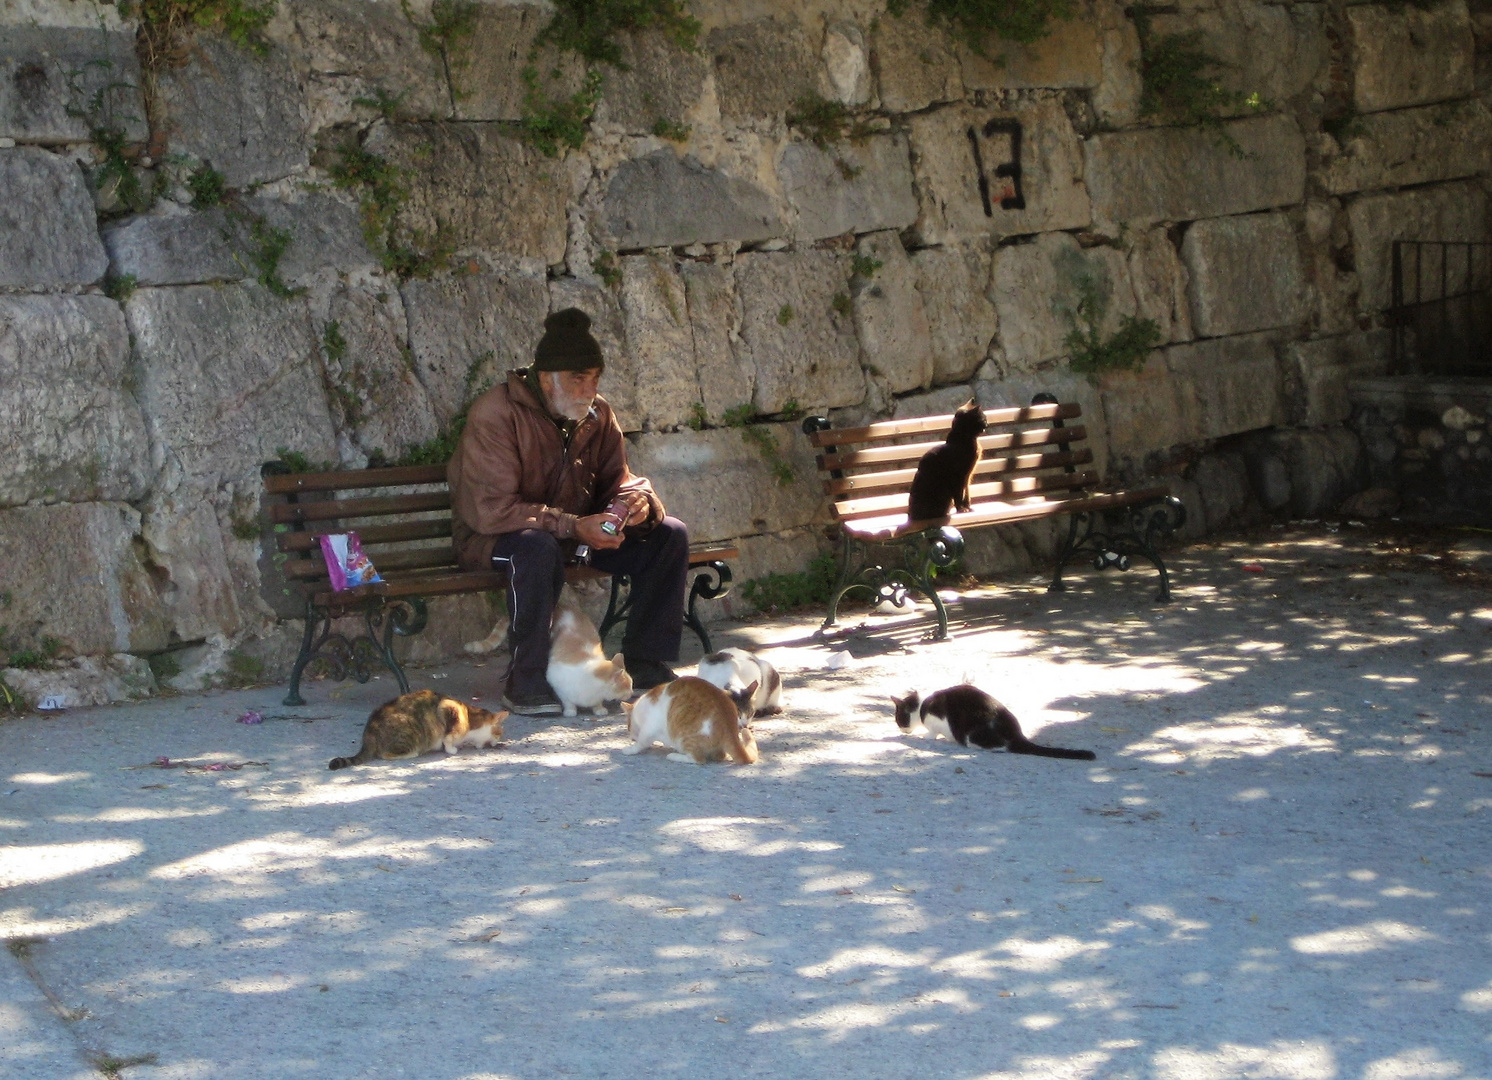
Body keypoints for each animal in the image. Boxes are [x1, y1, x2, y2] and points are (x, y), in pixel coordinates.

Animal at [329, 692, 510, 769]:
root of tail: (369, 734)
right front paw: (450, 749)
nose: (498, 742)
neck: (472, 718)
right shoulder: (448, 708)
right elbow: (448, 736)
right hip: (411, 733)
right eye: (500, 732)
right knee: (386, 754)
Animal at [617, 680, 757, 763]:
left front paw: (630, 749)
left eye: (628, 726)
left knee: (698, 759)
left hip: (685, 737)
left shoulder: (649, 728)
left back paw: (674, 756)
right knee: (719, 756)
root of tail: (730, 728)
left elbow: (642, 742)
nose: (631, 738)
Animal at [889, 683, 1092, 760]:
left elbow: (933, 732)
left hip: (973, 733)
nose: (901, 729)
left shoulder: (937, 720)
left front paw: (927, 736)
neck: (921, 705)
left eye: (899, 719)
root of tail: (1017, 734)